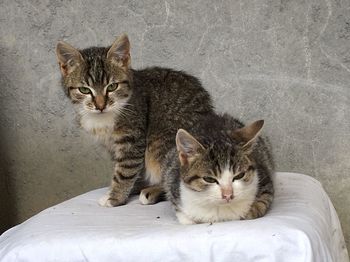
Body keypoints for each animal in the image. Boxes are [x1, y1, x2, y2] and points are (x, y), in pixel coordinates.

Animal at [55, 34, 215, 207]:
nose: (100, 105)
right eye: (84, 90)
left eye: (112, 87)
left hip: (162, 141)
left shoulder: (132, 138)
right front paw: (128, 188)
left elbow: (126, 169)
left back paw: (153, 191)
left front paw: (115, 197)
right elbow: (128, 169)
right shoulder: (112, 146)